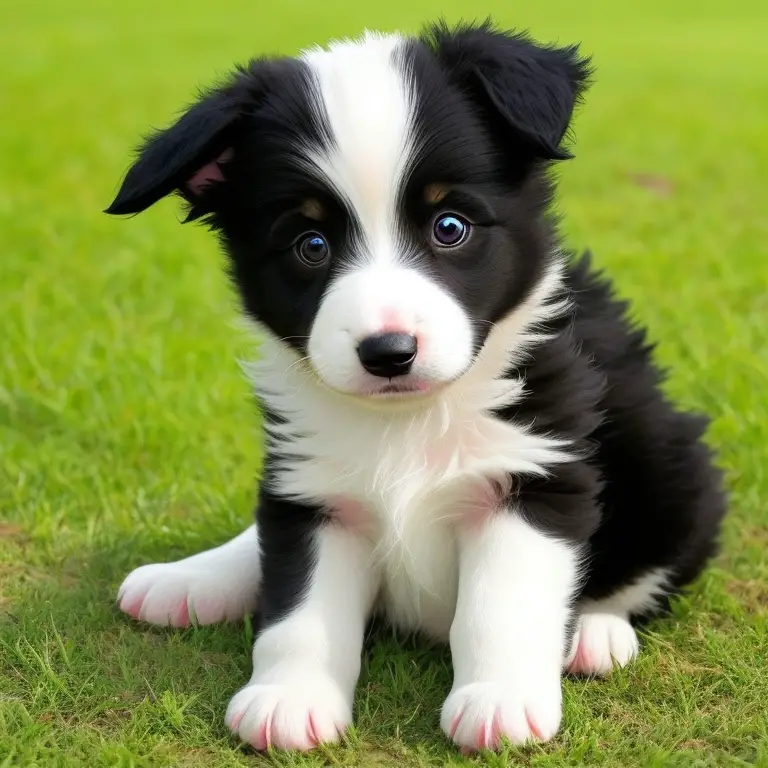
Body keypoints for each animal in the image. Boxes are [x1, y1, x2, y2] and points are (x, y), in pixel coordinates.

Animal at [106, 21, 728, 752]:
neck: (412, 420)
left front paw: (499, 699)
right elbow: (297, 608)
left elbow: (501, 603)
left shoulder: (537, 472)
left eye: (449, 226)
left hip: (672, 463)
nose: (388, 352)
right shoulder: (315, 490)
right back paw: (191, 580)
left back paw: (595, 635)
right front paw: (289, 697)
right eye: (310, 245)